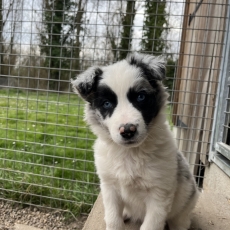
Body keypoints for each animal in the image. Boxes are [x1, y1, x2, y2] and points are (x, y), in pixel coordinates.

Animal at [71, 53, 199, 230]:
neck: (130, 154)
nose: (127, 130)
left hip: (185, 205)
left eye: (141, 97)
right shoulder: (109, 187)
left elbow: (151, 225)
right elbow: (113, 220)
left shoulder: (159, 194)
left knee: (180, 221)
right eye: (106, 103)